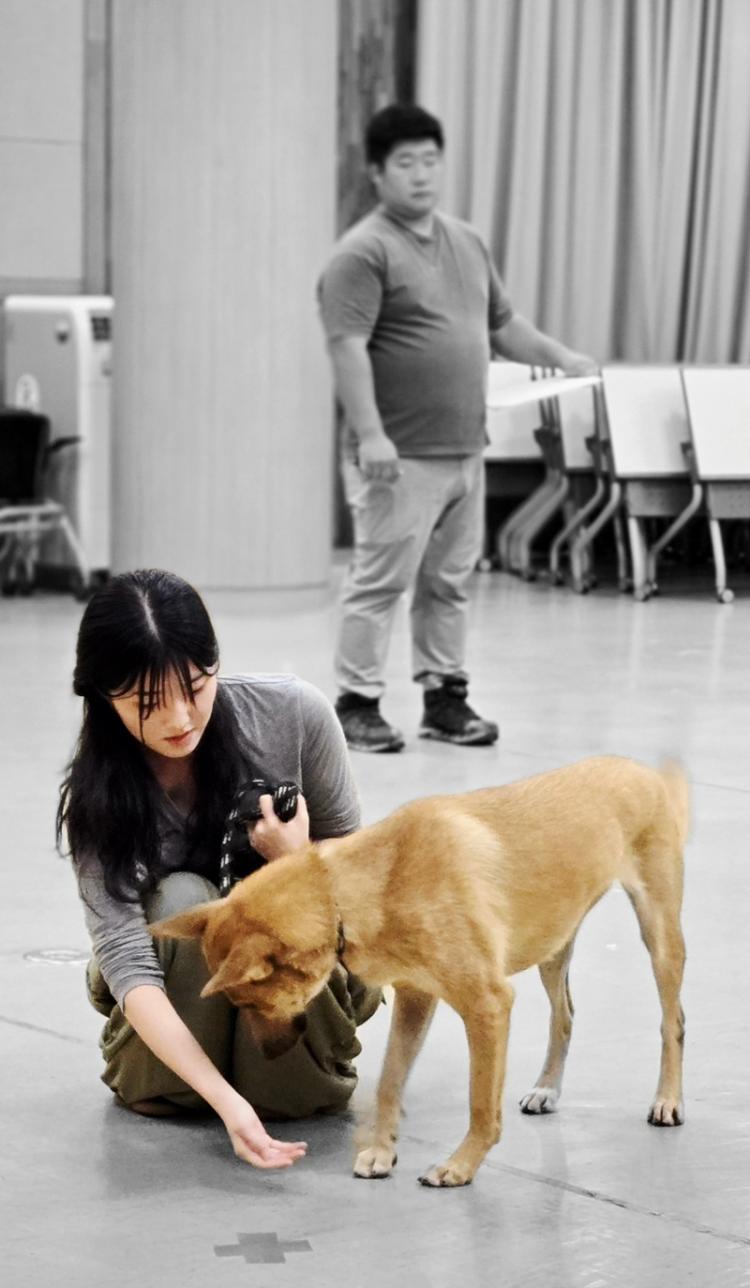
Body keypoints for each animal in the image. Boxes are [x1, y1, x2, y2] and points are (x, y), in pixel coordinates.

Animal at [151, 755, 688, 1187]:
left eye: (246, 1002)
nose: (266, 1056)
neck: (351, 891)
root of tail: (642, 770)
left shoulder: (487, 1006)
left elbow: (480, 1103)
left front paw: (461, 1165)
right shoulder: (415, 997)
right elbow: (390, 1079)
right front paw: (381, 1150)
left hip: (659, 935)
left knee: (673, 1021)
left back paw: (668, 1100)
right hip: (554, 946)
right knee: (565, 1015)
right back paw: (547, 1088)